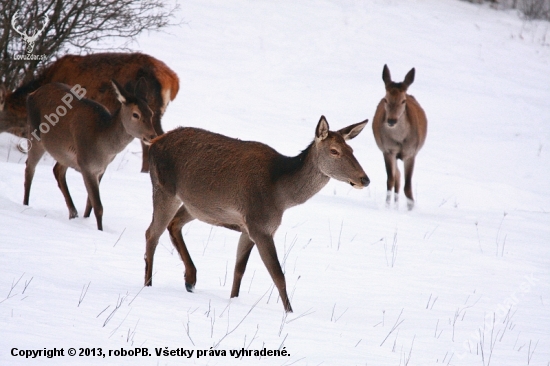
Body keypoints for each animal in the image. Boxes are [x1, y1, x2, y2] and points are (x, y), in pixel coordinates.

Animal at [23, 80, 156, 230]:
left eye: (151, 113)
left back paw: (73, 213)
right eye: (135, 114)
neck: (104, 148)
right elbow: (98, 206)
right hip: (35, 135)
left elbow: (90, 203)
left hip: (64, 155)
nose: (152, 136)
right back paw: (25, 204)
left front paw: (85, 220)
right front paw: (100, 230)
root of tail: (32, 94)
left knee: (57, 170)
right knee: (29, 168)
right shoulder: (87, 165)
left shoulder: (100, 169)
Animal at [146, 116, 370, 312]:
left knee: (174, 224)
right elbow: (278, 275)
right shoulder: (260, 226)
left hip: (196, 206)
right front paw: (289, 313)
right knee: (152, 233)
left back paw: (190, 279)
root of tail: (154, 142)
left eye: (351, 149)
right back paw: (148, 285)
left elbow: (239, 270)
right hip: (164, 188)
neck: (281, 196)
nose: (365, 179)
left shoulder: (248, 228)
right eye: (334, 151)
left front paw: (233, 300)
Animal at [374, 64, 430, 210]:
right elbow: (390, 180)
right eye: (386, 99)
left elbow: (408, 186)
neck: (400, 140)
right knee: (397, 177)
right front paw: (387, 206)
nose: (391, 120)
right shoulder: (388, 150)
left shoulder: (411, 153)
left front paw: (411, 208)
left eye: (403, 101)